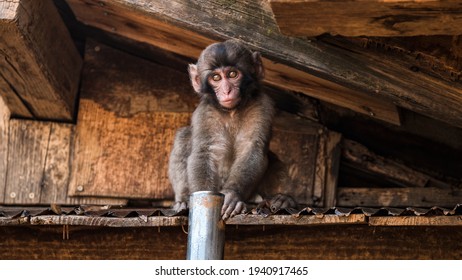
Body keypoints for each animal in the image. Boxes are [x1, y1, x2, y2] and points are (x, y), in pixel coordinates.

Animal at [169, 39, 296, 219]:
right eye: (216, 77)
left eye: (232, 75)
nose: (226, 90)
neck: (232, 111)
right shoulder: (206, 112)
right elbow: (205, 150)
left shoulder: (261, 105)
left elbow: (252, 147)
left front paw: (231, 195)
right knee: (185, 135)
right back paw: (183, 201)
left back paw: (282, 199)